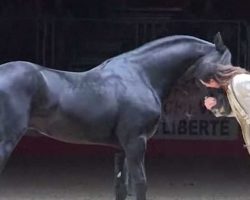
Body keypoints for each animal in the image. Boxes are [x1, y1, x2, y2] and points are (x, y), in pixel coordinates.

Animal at [0, 32, 230, 198]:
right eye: (223, 67)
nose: (224, 105)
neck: (140, 75)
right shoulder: (136, 142)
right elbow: (140, 184)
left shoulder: (121, 148)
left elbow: (121, 186)